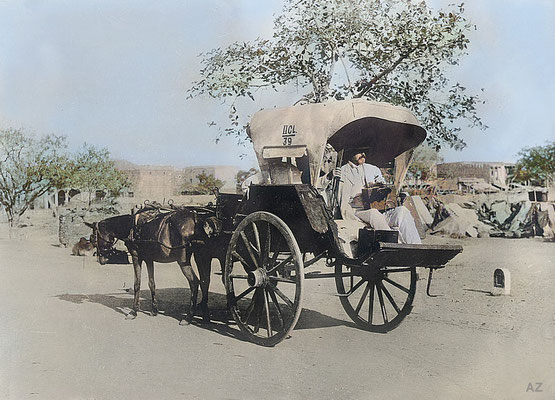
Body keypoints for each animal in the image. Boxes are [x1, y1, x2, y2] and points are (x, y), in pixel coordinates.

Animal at [84, 209, 224, 324]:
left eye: (93, 238)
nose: (101, 259)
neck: (131, 227)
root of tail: (196, 218)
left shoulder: (136, 257)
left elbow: (137, 284)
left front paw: (133, 311)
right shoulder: (149, 259)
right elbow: (152, 283)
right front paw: (154, 309)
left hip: (183, 261)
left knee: (194, 282)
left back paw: (189, 317)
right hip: (201, 256)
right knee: (205, 282)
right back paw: (205, 314)